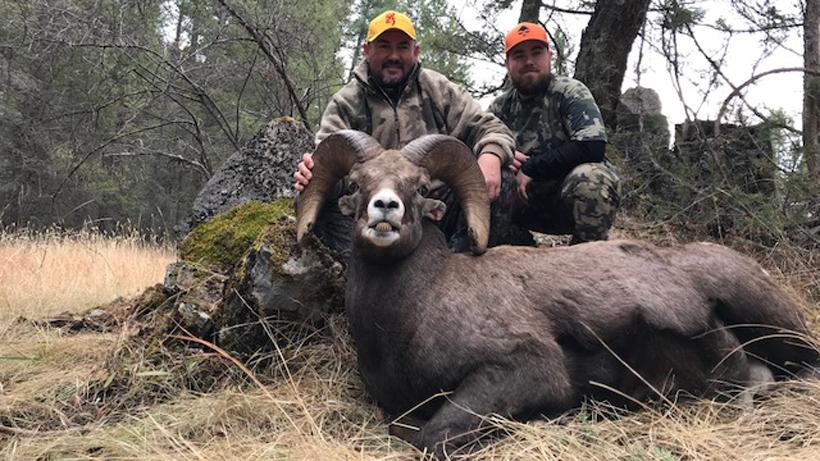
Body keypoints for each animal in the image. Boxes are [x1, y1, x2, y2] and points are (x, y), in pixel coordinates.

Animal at [295, 130, 819, 458]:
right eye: (355, 183)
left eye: (420, 187)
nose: (385, 208)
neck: (414, 310)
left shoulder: (521, 370)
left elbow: (429, 437)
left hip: (772, 324)